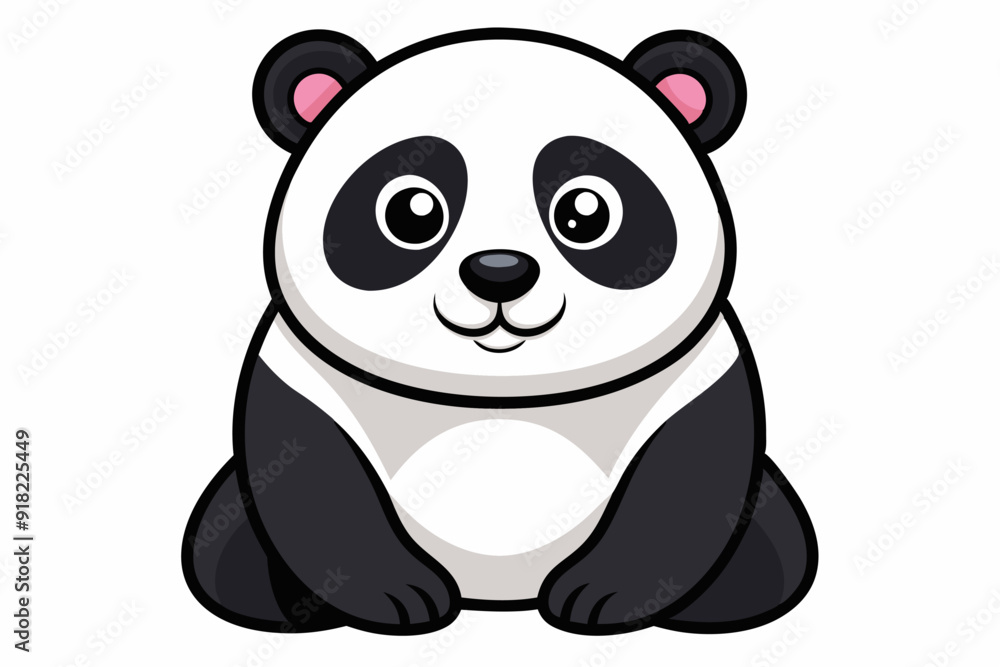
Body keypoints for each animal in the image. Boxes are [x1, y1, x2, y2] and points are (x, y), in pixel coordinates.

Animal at [182, 28, 817, 637]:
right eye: (410, 212)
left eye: (586, 212)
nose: (499, 272)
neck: (499, 392)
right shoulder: (305, 370)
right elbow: (313, 482)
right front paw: (400, 598)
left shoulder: (694, 370)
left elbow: (686, 483)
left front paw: (600, 598)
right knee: (223, 550)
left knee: (775, 551)